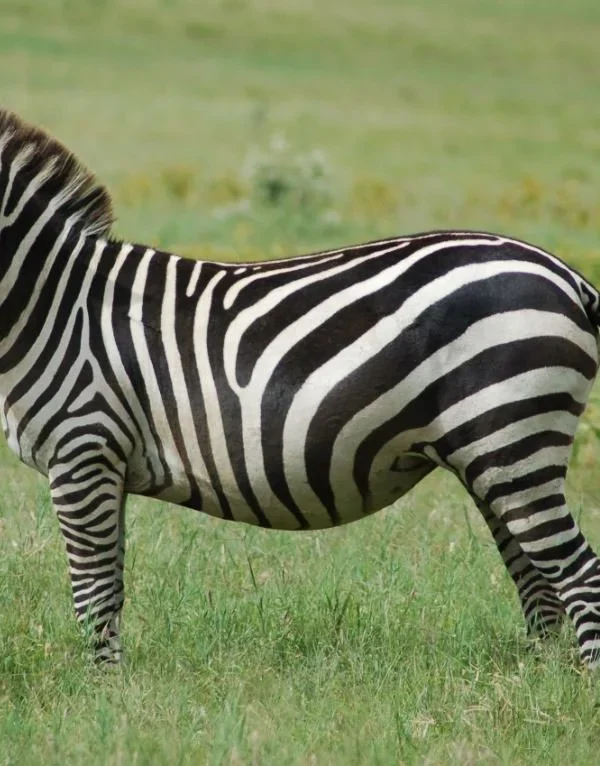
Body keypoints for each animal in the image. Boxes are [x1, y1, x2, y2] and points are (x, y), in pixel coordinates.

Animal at [2, 108, 600, 667]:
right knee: (537, 580)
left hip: (512, 437)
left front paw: (108, 690)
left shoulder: (85, 450)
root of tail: (568, 275)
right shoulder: (106, 464)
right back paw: (534, 680)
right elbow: (110, 587)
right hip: (493, 454)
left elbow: (94, 595)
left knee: (578, 575)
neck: (52, 303)